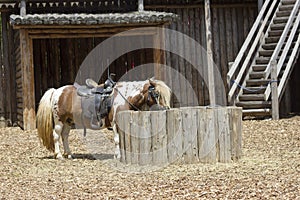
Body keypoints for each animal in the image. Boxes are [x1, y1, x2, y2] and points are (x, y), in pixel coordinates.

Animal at [36, 77, 171, 160]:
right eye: (157, 94)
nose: (167, 109)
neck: (124, 97)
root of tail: (57, 91)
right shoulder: (115, 123)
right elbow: (117, 140)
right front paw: (118, 156)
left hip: (68, 121)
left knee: (65, 136)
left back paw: (69, 154)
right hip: (59, 120)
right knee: (56, 135)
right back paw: (59, 155)